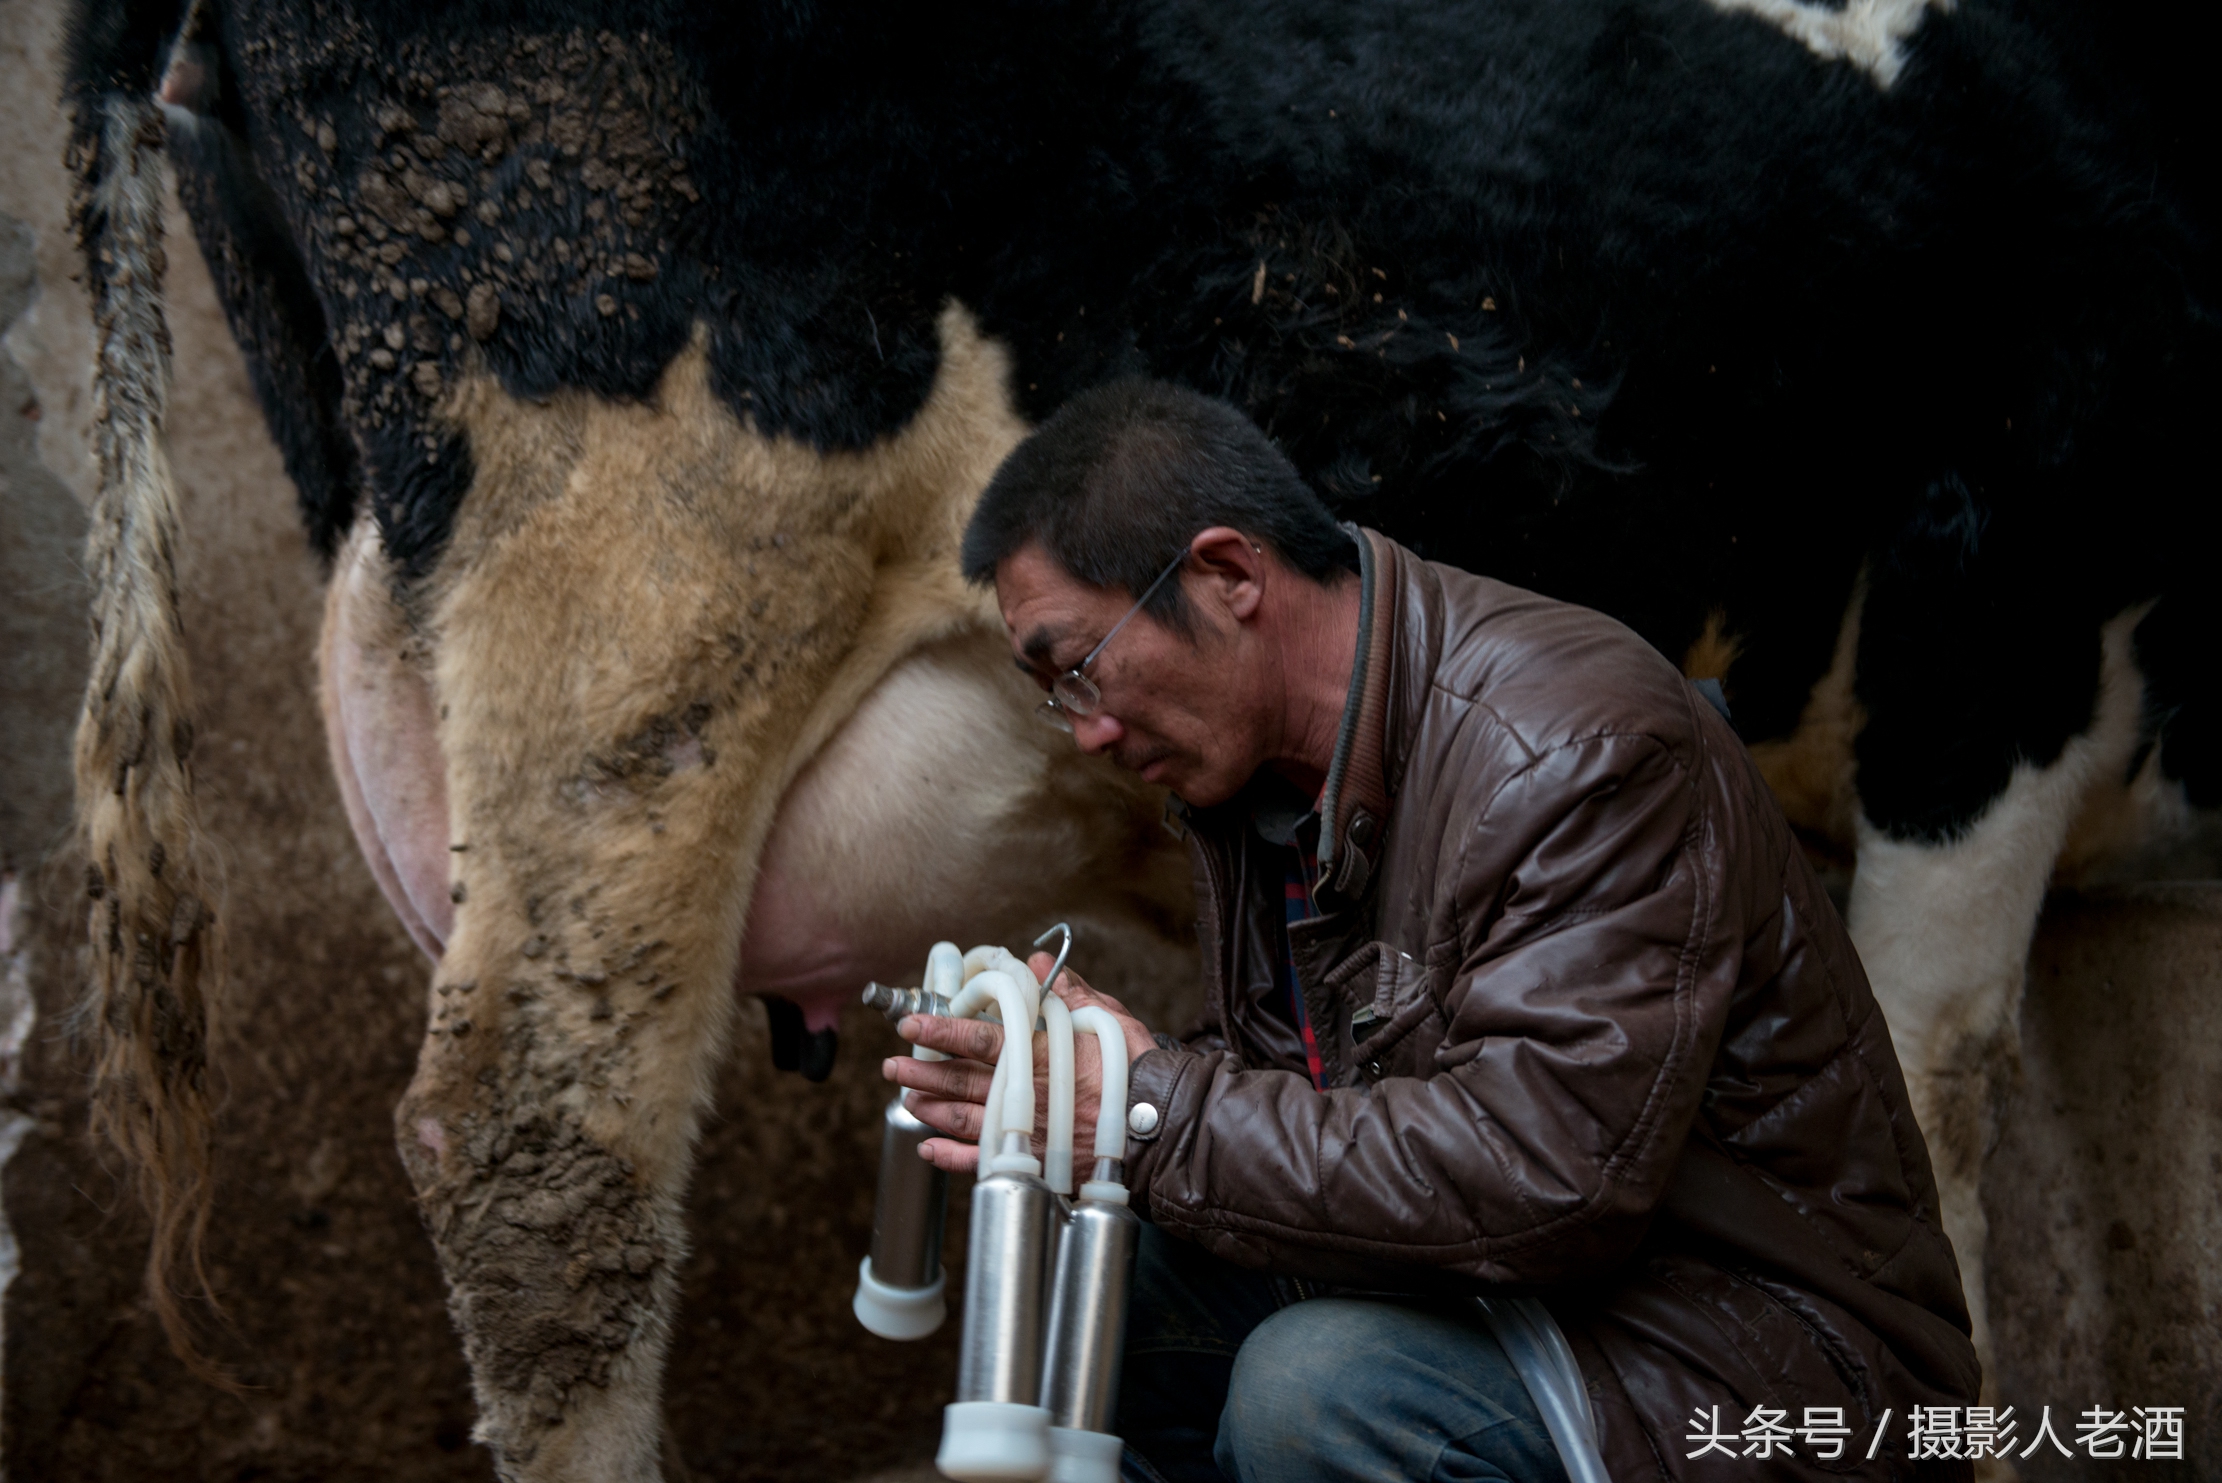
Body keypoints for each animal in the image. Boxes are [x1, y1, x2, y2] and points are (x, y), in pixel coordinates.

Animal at [64, 0, 2204, 1476]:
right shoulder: (1986, 657)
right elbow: (1935, 1134)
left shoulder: (2148, 883)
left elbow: (2161, 1271)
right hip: (638, 581)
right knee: (541, 1164)